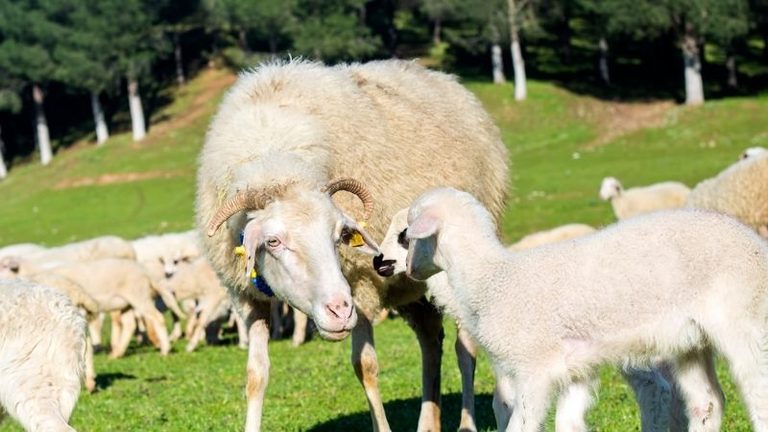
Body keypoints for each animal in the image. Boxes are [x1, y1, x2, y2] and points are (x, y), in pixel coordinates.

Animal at [196, 59, 508, 432]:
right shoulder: (249, 298)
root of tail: (444, 78)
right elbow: (256, 375)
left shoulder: (360, 284)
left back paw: (466, 423)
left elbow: (366, 367)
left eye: (337, 237)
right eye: (273, 241)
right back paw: (428, 423)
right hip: (412, 287)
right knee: (431, 342)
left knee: (466, 348)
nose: (338, 310)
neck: (272, 150)